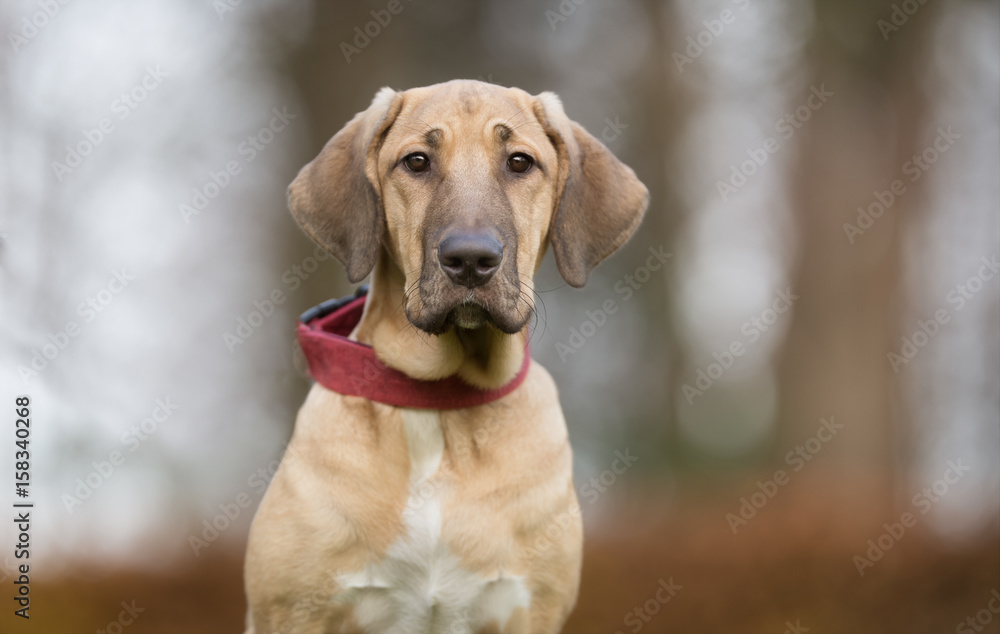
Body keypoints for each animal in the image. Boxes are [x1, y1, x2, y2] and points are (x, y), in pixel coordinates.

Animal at [243, 80, 648, 632]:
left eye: (520, 162)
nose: (471, 260)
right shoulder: (294, 611)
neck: (438, 405)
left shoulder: (530, 610)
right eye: (416, 162)